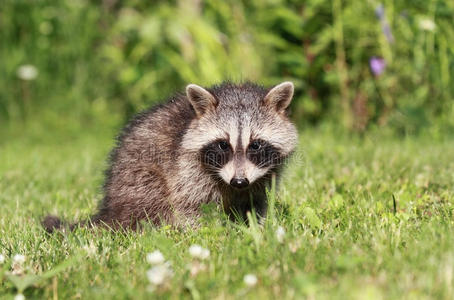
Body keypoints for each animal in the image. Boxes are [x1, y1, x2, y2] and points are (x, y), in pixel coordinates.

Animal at [42, 81, 298, 232]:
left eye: (256, 145)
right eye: (223, 145)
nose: (239, 181)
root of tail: (111, 209)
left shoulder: (264, 174)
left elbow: (257, 200)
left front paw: (258, 227)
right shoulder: (186, 168)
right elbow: (190, 205)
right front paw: (216, 234)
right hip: (136, 182)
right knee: (153, 195)